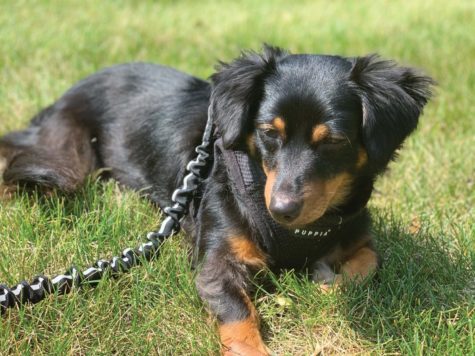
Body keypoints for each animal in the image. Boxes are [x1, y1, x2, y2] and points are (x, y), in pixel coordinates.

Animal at [0, 46, 436, 354]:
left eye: (333, 141)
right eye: (268, 132)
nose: (282, 210)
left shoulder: (359, 235)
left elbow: (367, 263)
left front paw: (329, 286)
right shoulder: (215, 261)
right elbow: (239, 315)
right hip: (68, 157)